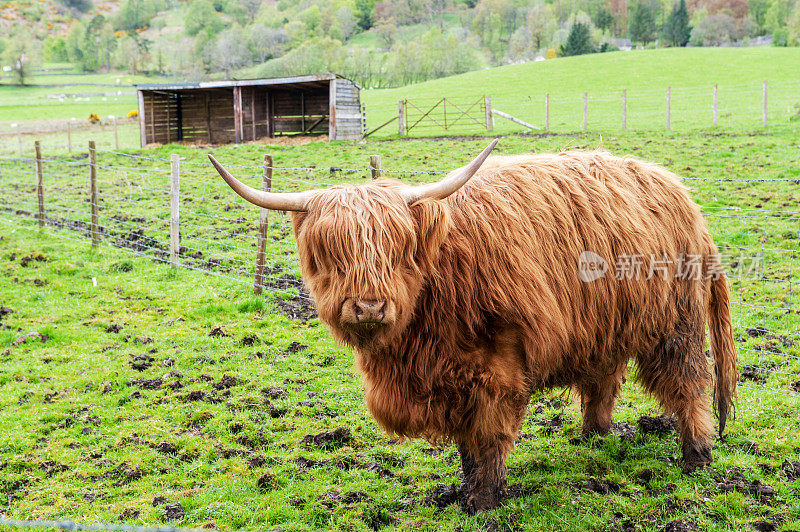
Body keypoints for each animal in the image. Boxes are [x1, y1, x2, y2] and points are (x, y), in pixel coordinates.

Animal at [208, 140, 736, 512]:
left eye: (397, 249)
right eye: (331, 253)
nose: (369, 308)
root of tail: (681, 195)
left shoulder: (500, 363)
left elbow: (491, 434)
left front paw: (484, 499)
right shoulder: (449, 378)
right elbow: (466, 440)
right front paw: (463, 487)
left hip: (675, 325)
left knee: (689, 384)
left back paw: (696, 455)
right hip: (603, 326)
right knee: (603, 380)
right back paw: (593, 436)